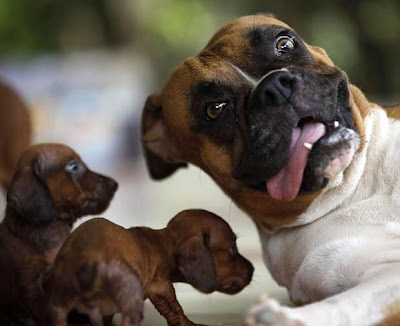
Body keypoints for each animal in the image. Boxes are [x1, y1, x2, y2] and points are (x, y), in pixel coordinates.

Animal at [142, 13, 400, 326]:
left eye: (285, 44)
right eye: (215, 109)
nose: (275, 86)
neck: (353, 186)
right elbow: (345, 304)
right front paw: (281, 318)